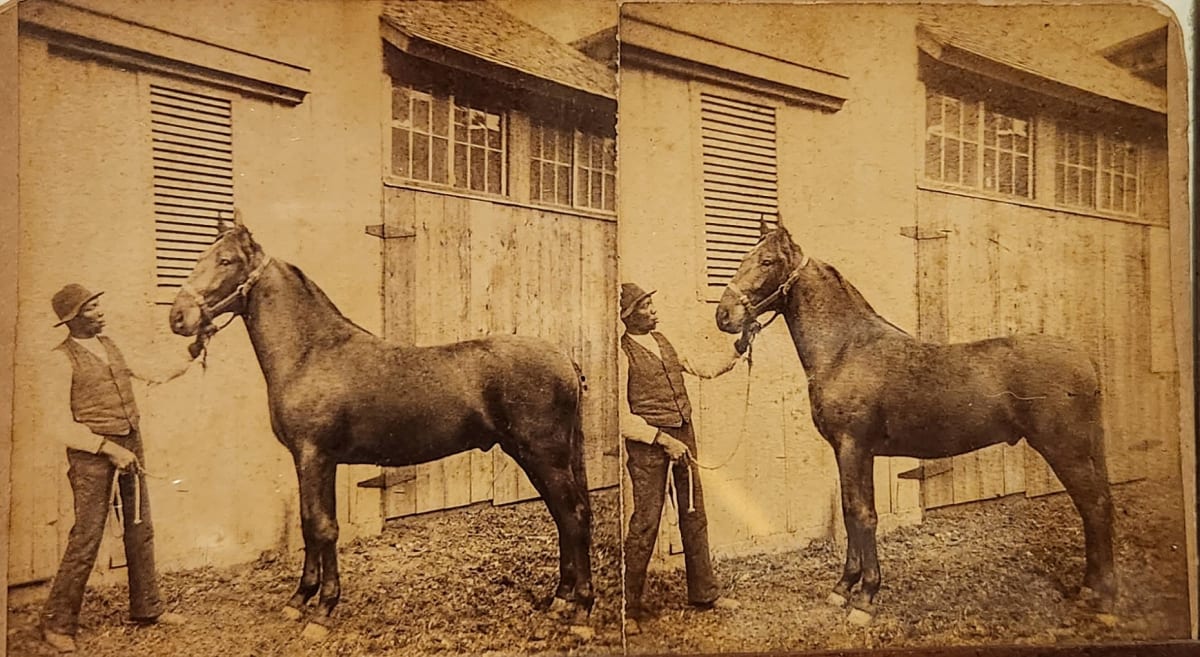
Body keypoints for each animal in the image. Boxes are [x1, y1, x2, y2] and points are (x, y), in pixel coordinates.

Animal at [168, 213, 593, 638]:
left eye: (225, 261)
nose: (178, 317)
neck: (310, 353)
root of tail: (565, 359)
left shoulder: (313, 455)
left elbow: (323, 527)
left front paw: (323, 610)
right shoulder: (315, 461)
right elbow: (310, 525)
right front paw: (299, 600)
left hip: (543, 456)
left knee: (573, 516)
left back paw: (582, 612)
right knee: (563, 516)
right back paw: (561, 598)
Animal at [714, 222, 1116, 623]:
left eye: (767, 261)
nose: (723, 315)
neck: (845, 350)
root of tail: (1084, 358)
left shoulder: (853, 446)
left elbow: (862, 514)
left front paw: (865, 598)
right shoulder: (855, 452)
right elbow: (851, 512)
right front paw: (843, 588)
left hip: (1065, 450)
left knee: (1094, 506)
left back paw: (1099, 597)